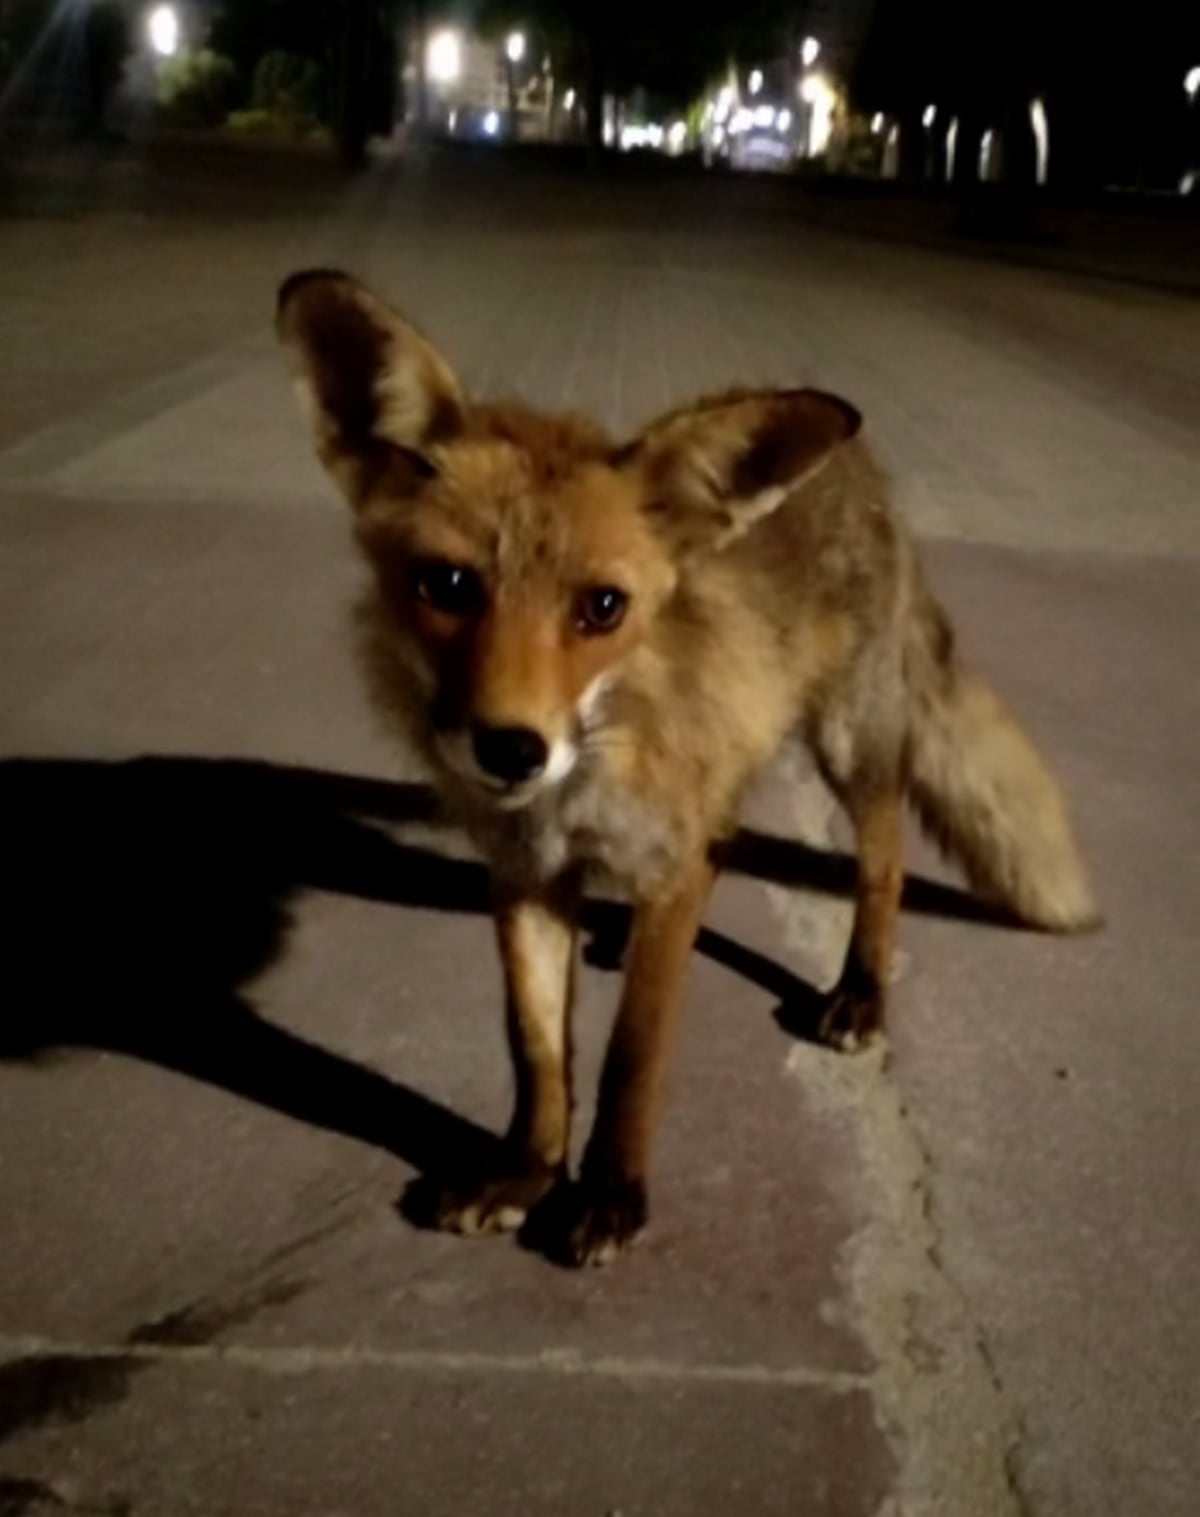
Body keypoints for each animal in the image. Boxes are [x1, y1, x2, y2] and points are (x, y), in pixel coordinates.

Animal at [277, 268, 1098, 1267]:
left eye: (602, 607)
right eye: (449, 586)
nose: (512, 747)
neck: (581, 786)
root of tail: (863, 473)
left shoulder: (668, 868)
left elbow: (634, 1051)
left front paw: (609, 1195)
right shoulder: (524, 873)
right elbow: (535, 1049)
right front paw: (524, 1170)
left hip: (849, 744)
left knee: (884, 865)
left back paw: (859, 991)